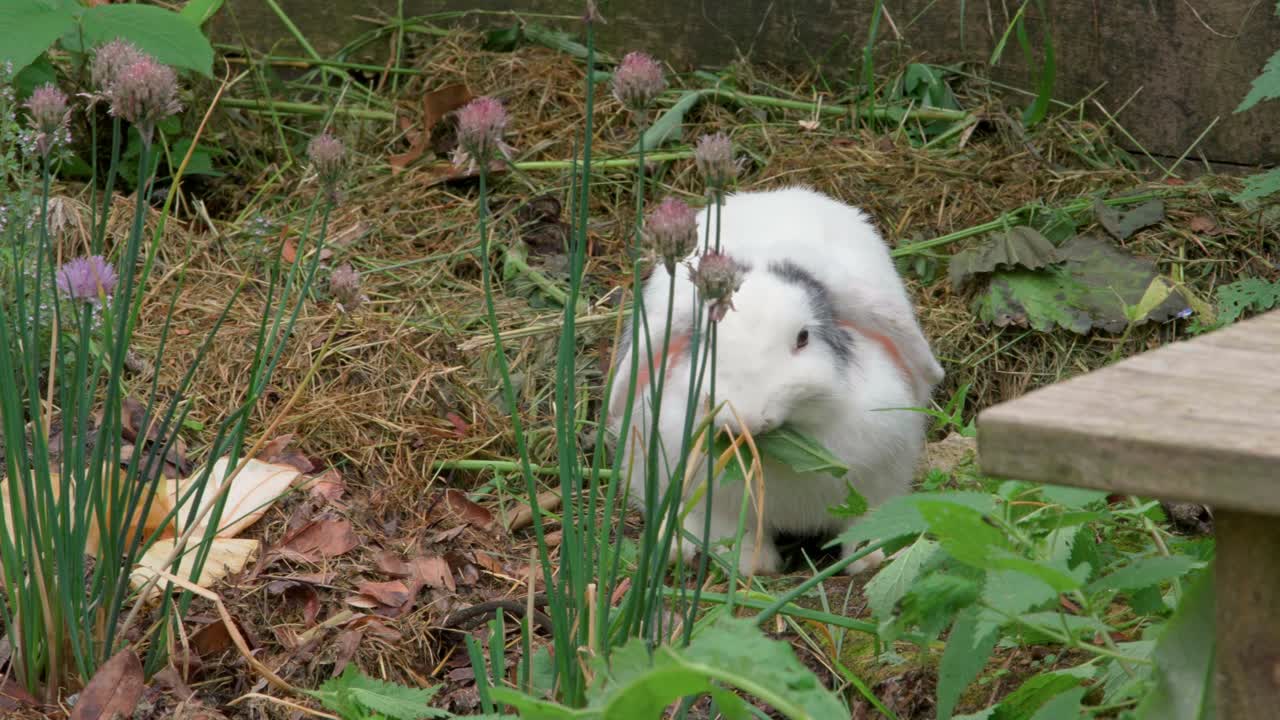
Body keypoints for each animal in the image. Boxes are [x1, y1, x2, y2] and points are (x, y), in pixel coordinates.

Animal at [606, 185, 945, 577]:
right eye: (706, 341)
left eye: (803, 338)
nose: (748, 418)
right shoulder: (717, 505)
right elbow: (739, 534)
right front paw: (755, 567)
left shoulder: (881, 480)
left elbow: (868, 520)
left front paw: (870, 559)